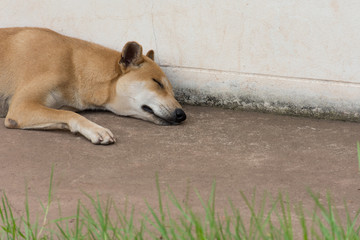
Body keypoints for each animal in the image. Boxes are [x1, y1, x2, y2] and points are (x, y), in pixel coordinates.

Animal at [0, 28, 186, 144]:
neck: (75, 67)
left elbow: (64, 114)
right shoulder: (21, 108)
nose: (182, 115)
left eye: (172, 91)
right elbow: (70, 114)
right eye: (157, 83)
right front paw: (96, 130)